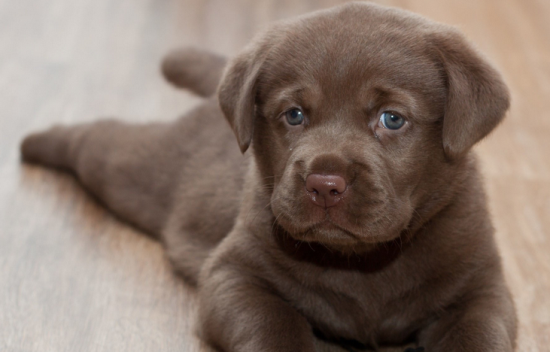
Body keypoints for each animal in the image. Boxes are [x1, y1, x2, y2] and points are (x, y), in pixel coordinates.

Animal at [20, 2, 516, 352]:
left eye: (392, 119)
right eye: (293, 115)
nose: (324, 184)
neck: (362, 263)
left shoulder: (481, 288)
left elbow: (481, 335)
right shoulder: (233, 274)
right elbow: (275, 326)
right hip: (135, 170)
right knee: (96, 139)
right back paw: (36, 141)